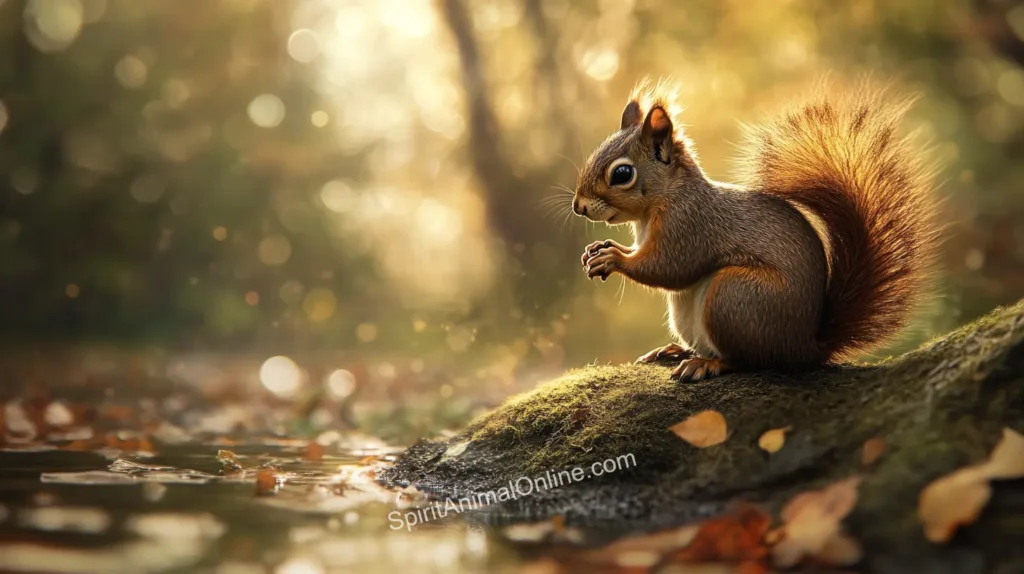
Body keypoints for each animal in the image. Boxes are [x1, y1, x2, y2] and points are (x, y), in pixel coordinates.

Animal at [574, 80, 939, 381]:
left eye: (622, 174)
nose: (579, 206)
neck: (664, 200)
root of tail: (804, 347)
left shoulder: (691, 225)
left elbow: (669, 268)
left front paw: (612, 258)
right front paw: (596, 250)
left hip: (735, 297)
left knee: (749, 360)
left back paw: (707, 364)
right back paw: (676, 350)